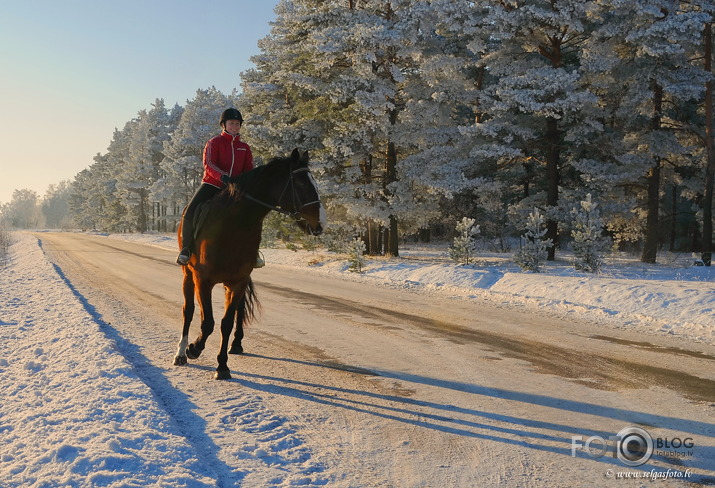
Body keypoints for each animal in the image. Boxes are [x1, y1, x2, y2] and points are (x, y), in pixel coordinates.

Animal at [173, 150, 328, 382]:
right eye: (301, 183)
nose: (321, 223)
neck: (234, 224)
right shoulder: (203, 281)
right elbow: (207, 322)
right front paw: (194, 348)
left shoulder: (238, 281)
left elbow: (226, 323)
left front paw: (222, 366)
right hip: (188, 275)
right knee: (188, 310)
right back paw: (181, 354)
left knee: (236, 312)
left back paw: (236, 344)